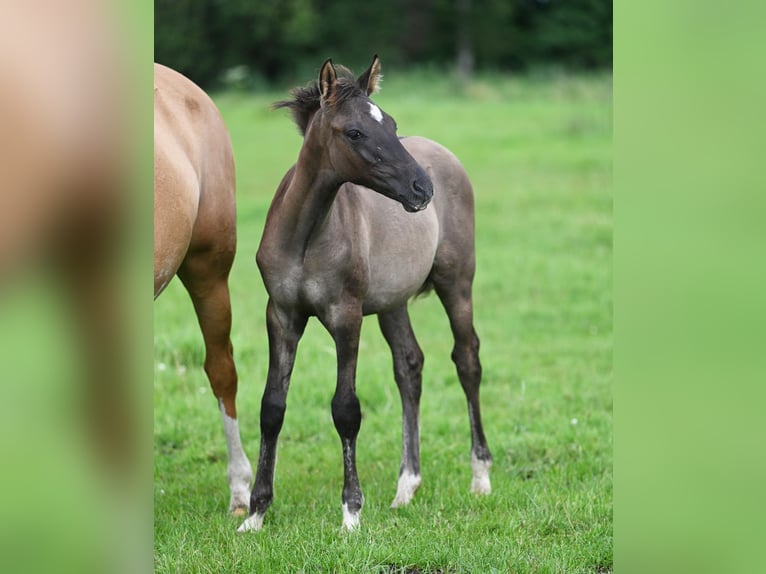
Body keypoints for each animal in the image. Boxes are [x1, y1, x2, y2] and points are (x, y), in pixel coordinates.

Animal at [238, 56, 492, 532]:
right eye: (354, 132)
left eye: (391, 124)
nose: (421, 189)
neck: (306, 234)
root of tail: (444, 155)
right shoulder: (281, 315)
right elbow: (271, 407)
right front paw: (255, 513)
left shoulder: (346, 316)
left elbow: (346, 409)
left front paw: (351, 513)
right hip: (393, 302)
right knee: (409, 366)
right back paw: (406, 486)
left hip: (456, 282)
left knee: (467, 359)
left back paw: (481, 476)